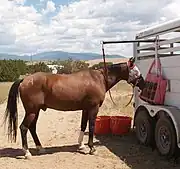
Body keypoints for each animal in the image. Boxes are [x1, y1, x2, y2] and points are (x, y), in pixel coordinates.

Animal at [3, 56, 145, 158]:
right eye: (136, 70)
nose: (143, 83)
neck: (99, 79)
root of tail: (25, 80)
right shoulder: (93, 108)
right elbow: (91, 126)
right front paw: (92, 148)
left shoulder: (85, 109)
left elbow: (83, 125)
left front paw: (81, 146)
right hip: (32, 111)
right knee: (23, 128)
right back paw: (27, 153)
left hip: (35, 111)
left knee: (31, 128)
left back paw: (40, 148)